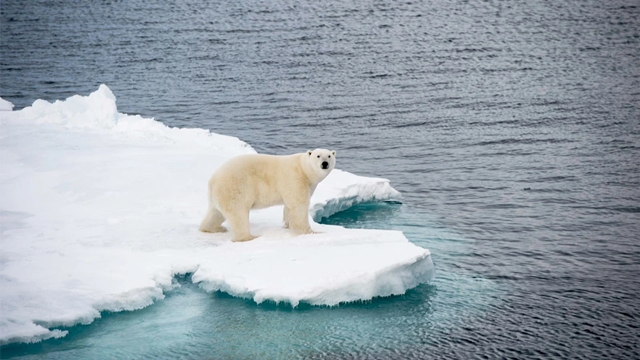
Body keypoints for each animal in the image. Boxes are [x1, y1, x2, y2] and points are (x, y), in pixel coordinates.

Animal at [200, 148, 338, 243]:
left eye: (329, 155)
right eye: (318, 156)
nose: (324, 163)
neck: (303, 169)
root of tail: (212, 180)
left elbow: (288, 206)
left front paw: (287, 225)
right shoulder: (295, 178)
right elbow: (298, 205)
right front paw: (311, 232)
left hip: (218, 195)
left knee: (215, 213)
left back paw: (214, 228)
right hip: (235, 188)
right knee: (238, 214)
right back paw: (249, 237)